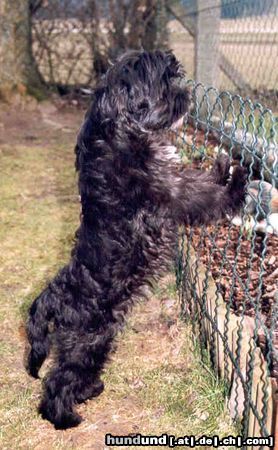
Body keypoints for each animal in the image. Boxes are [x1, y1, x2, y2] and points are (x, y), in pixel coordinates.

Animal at [24, 50, 245, 428]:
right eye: (165, 82)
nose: (187, 95)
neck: (118, 128)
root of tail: (51, 297)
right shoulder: (171, 191)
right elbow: (205, 195)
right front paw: (238, 183)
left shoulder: (172, 180)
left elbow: (200, 179)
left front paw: (222, 167)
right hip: (88, 340)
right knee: (58, 381)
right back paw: (64, 417)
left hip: (99, 341)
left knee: (77, 375)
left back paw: (89, 391)